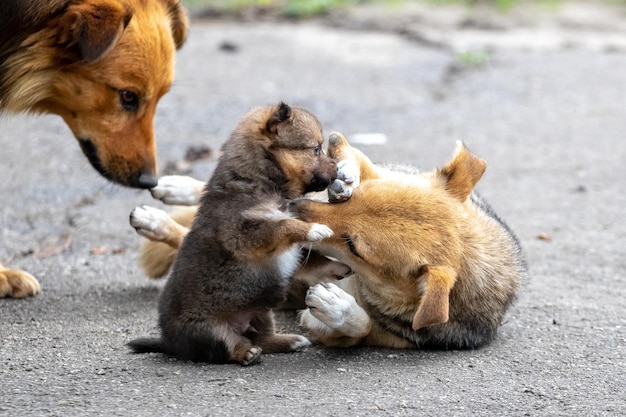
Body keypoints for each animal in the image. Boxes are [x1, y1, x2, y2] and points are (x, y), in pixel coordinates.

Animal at [127, 103, 346, 364]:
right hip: (209, 328)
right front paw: (314, 229)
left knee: (262, 335)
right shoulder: (246, 233)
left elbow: (309, 256)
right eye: (315, 149)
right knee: (232, 343)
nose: (337, 168)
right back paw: (247, 352)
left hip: (261, 309)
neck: (260, 180)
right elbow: (283, 225)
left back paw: (289, 340)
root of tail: (171, 343)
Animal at [290, 133, 524, 348]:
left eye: (353, 247)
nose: (291, 207)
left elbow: (362, 328)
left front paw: (336, 308)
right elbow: (344, 144)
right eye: (349, 200)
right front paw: (348, 172)